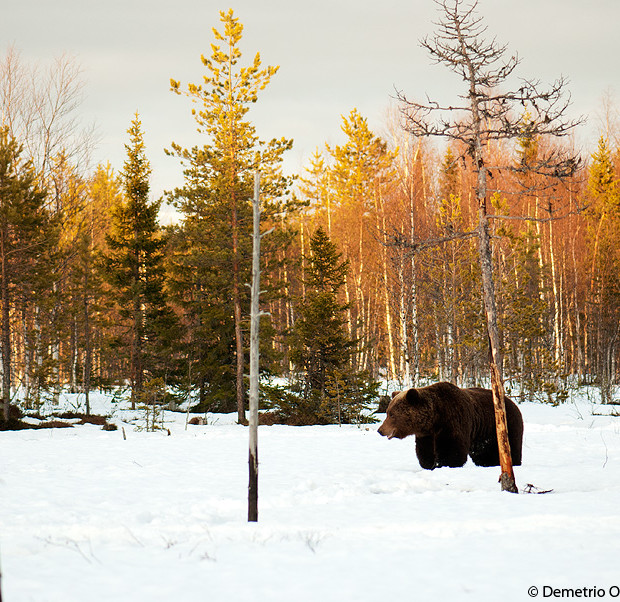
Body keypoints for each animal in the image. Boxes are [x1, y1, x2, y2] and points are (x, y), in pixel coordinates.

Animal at [378, 380, 524, 468]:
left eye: (391, 414)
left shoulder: (452, 422)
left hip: (505, 425)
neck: (434, 419)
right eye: (387, 412)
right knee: (484, 453)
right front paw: (429, 464)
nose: (380, 430)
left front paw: (444, 464)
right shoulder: (426, 435)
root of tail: (513, 403)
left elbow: (451, 450)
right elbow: (425, 452)